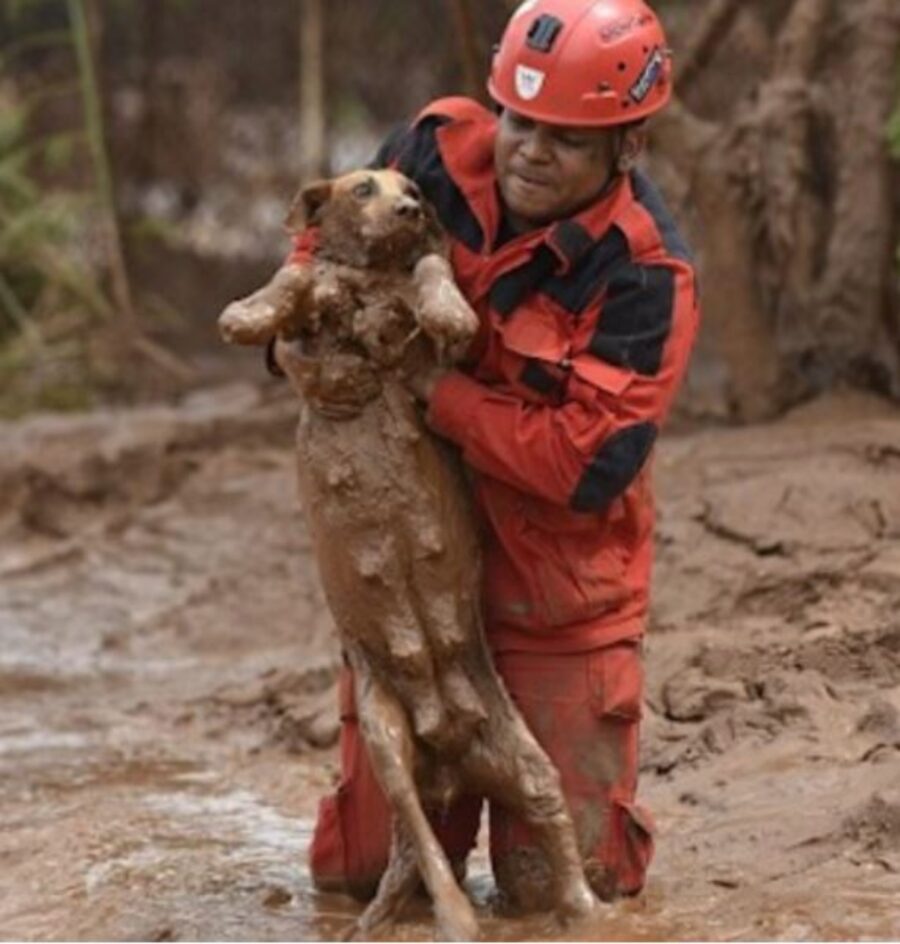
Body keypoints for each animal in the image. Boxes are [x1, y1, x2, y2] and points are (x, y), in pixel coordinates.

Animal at [216, 171, 596, 944]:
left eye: (414, 186)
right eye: (365, 187)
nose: (412, 208)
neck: (370, 276)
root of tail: (448, 754)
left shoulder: (431, 321)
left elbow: (432, 273)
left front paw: (447, 310)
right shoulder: (317, 291)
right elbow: (294, 277)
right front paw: (247, 314)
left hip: (523, 757)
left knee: (541, 820)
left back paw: (570, 908)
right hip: (385, 737)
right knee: (420, 838)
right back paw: (426, 915)